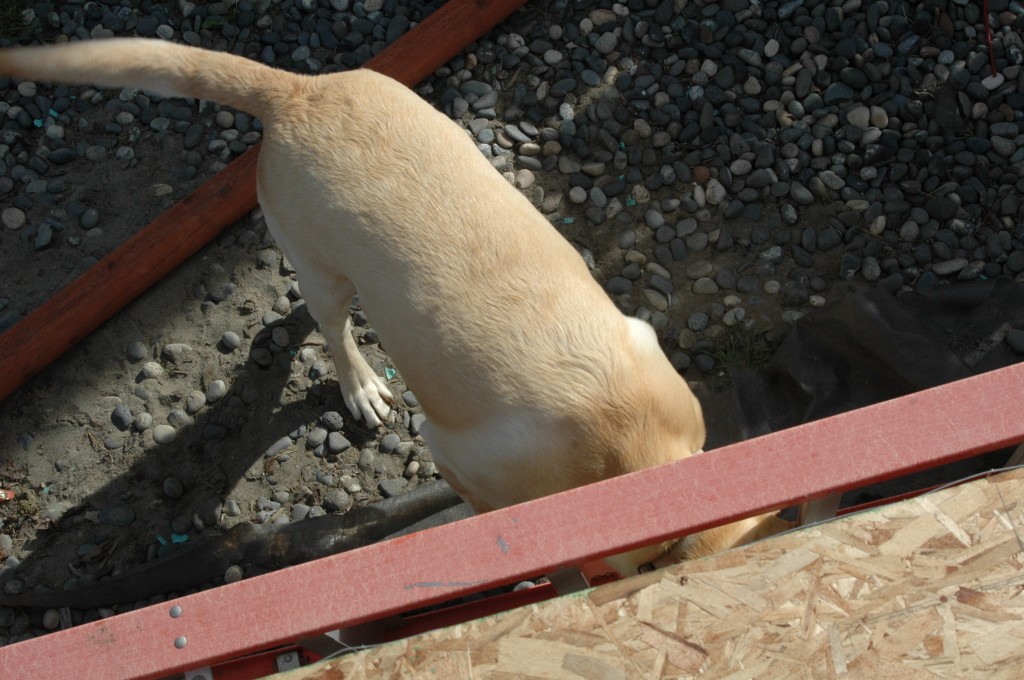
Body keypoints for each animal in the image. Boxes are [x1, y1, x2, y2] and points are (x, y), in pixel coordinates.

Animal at [0, 41, 786, 573]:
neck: (639, 463)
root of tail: (294, 91)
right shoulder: (457, 452)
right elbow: (485, 502)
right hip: (324, 272)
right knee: (332, 327)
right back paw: (362, 388)